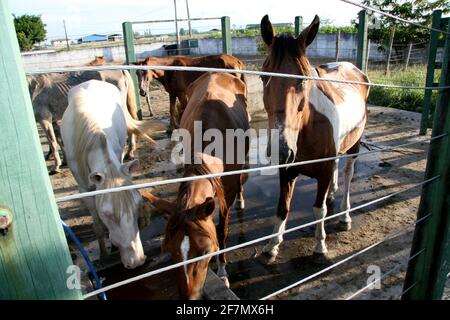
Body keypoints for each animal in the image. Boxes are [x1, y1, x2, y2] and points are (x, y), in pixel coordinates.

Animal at [60, 80, 155, 268]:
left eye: (137, 205)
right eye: (107, 214)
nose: (136, 261)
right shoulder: (84, 187)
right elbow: (97, 224)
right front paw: (104, 255)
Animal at [143, 72, 250, 298]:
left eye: (205, 251)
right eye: (171, 250)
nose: (189, 297)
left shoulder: (227, 192)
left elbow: (221, 230)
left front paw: (223, 271)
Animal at [258, 13, 370, 262]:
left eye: (304, 78)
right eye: (263, 77)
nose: (282, 150)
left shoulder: (323, 169)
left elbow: (319, 209)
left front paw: (320, 245)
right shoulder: (287, 170)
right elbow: (282, 208)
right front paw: (272, 245)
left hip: (355, 145)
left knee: (348, 174)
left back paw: (345, 216)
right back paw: (332, 194)